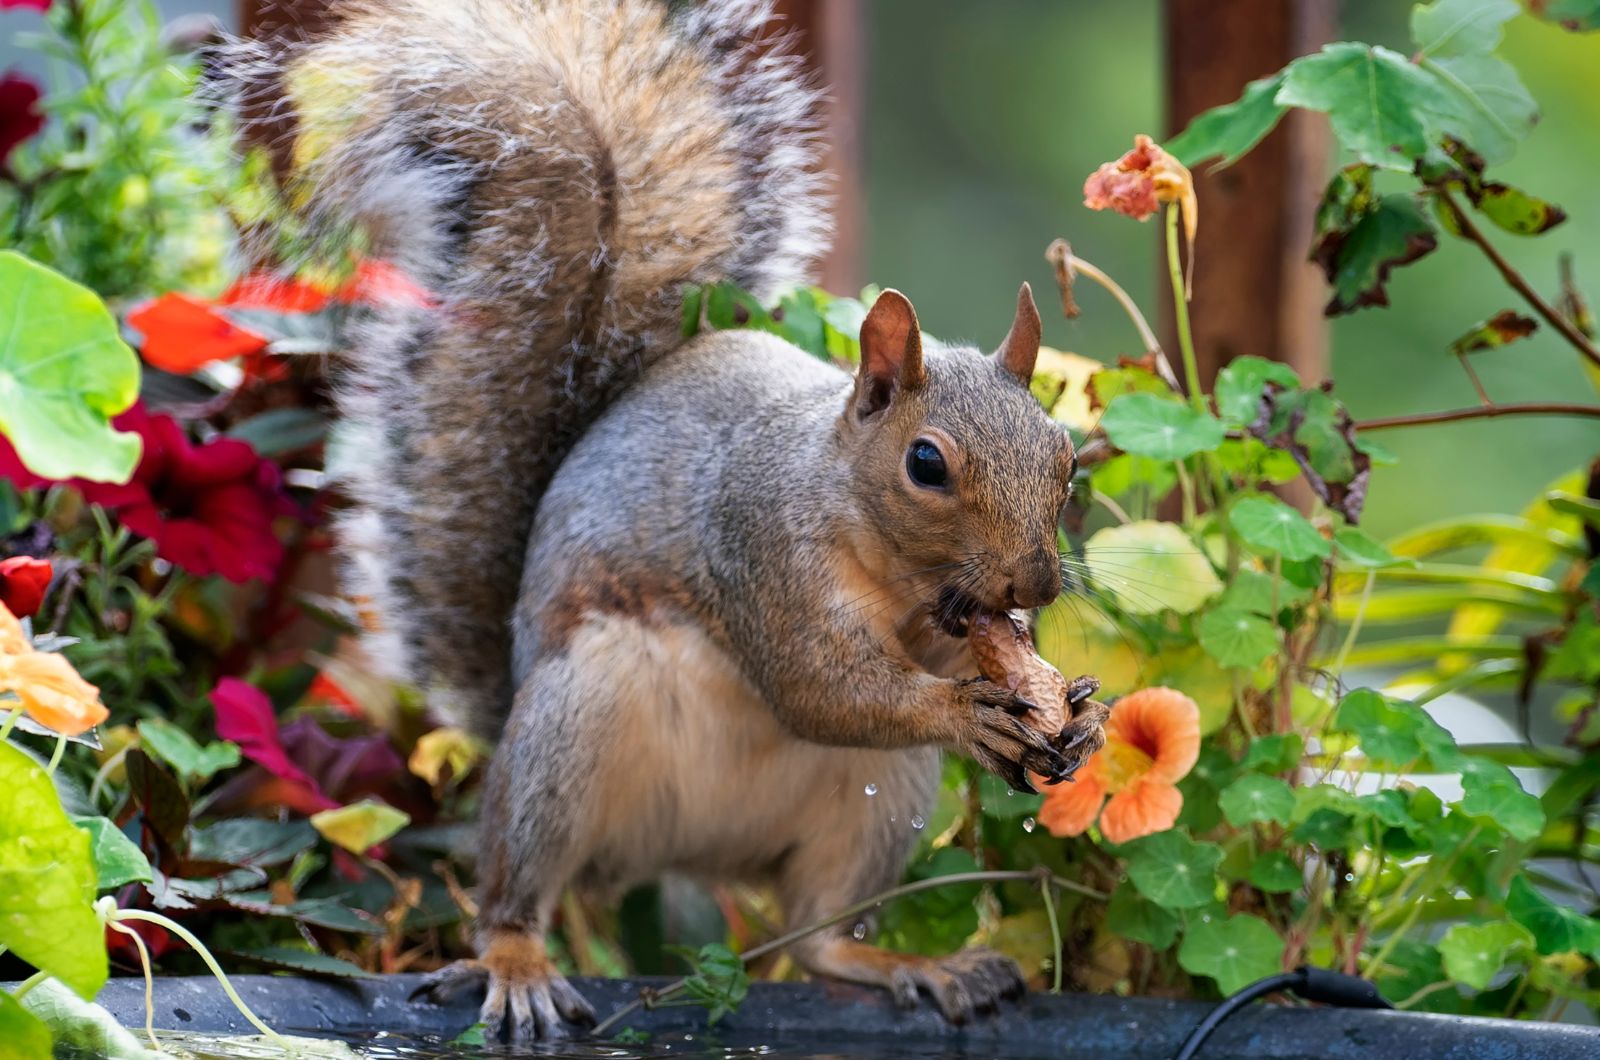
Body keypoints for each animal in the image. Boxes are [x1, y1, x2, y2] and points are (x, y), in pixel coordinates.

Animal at [243, 0, 1100, 1043]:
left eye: (1065, 455)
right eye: (926, 464)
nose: (1035, 581)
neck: (892, 568)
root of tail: (691, 854)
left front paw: (1070, 718)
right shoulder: (759, 552)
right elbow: (816, 688)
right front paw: (964, 710)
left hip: (875, 801)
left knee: (818, 935)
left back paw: (919, 968)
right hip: (570, 731)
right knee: (519, 890)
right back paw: (518, 966)